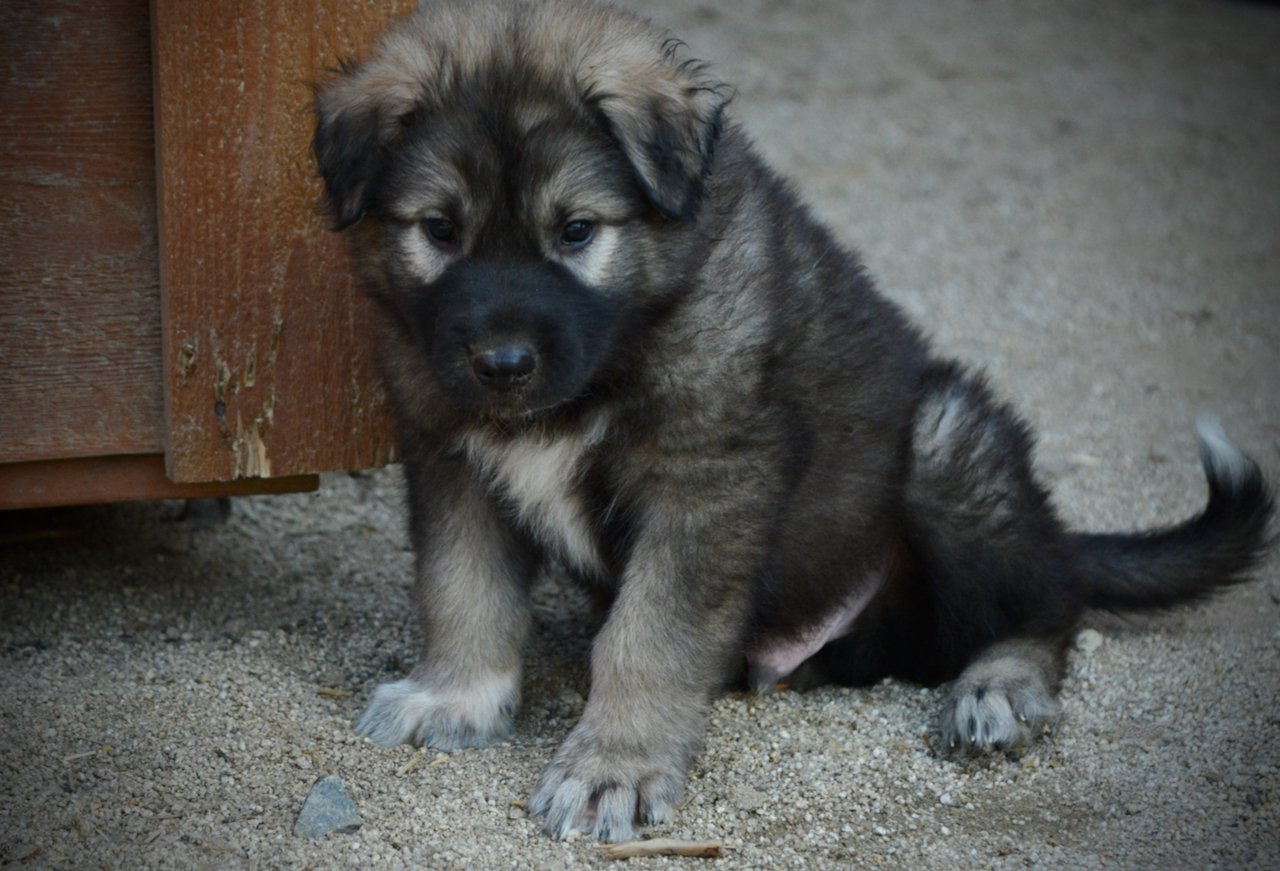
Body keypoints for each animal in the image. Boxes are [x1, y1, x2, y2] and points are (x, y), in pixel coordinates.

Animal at [309, 0, 1269, 845]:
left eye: (577, 230)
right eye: (439, 228)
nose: (502, 366)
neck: (622, 343)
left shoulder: (706, 480)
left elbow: (647, 636)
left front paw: (613, 765)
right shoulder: (451, 457)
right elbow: (461, 588)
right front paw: (456, 694)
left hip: (947, 443)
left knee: (1049, 600)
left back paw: (998, 686)